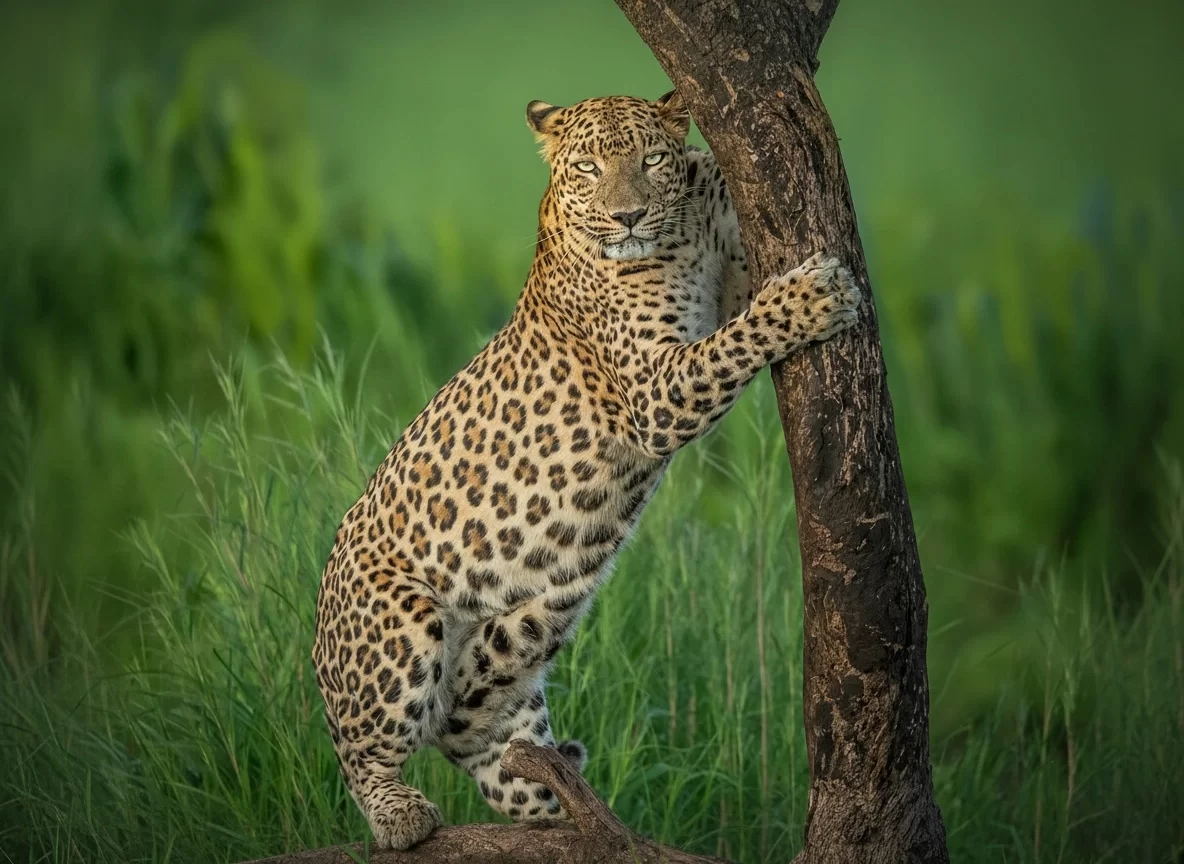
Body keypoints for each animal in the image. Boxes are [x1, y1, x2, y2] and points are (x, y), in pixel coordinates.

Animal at [312, 89, 862, 850]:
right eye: (588, 168)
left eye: (649, 160)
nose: (626, 216)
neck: (677, 243)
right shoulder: (657, 388)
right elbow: (740, 338)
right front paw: (817, 296)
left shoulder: (723, 277)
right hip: (401, 621)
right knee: (361, 751)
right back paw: (401, 815)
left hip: (521, 631)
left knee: (464, 729)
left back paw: (560, 797)